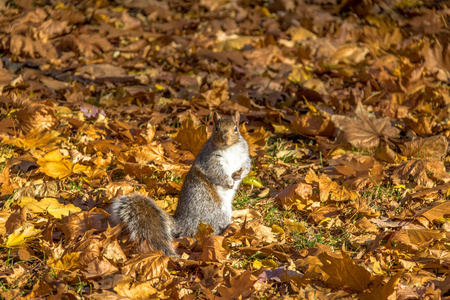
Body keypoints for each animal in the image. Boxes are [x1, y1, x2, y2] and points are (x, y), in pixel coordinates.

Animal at [111, 111, 253, 256]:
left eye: (235, 129)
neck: (229, 148)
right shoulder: (209, 162)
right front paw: (229, 181)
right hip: (213, 211)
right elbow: (215, 173)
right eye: (216, 128)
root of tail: (182, 222)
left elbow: (246, 167)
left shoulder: (244, 157)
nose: (225, 139)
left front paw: (239, 174)